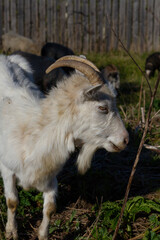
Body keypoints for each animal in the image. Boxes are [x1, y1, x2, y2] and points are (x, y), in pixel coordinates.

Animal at [0, 54, 129, 240]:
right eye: (103, 108)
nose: (125, 140)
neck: (35, 132)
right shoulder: (7, 169)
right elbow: (12, 202)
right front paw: (11, 232)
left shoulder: (50, 176)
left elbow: (50, 208)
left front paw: (43, 235)